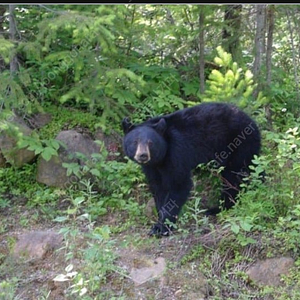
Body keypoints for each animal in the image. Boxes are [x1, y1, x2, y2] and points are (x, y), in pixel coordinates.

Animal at [120, 103, 262, 237]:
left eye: (151, 143)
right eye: (135, 141)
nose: (143, 155)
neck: (161, 158)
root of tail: (251, 120)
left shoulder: (177, 152)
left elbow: (179, 184)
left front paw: (162, 227)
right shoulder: (151, 167)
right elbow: (158, 187)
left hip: (239, 144)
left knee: (235, 175)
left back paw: (219, 208)